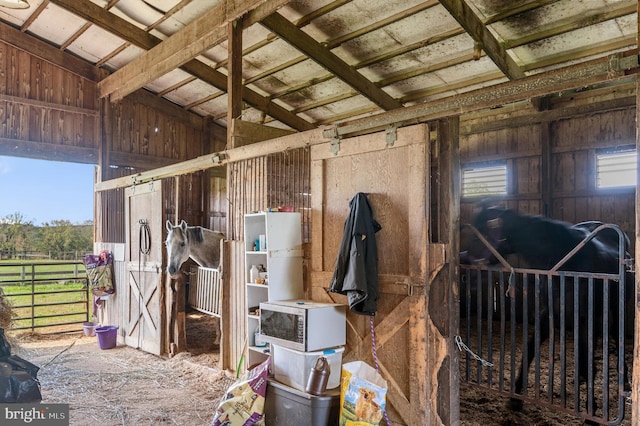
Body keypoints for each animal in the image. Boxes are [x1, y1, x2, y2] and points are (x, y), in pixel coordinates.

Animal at [468, 205, 632, 422]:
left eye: (478, 235)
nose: (464, 256)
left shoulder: (585, 318)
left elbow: (589, 361)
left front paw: (592, 414)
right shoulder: (550, 314)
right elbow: (529, 349)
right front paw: (516, 397)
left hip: (613, 311)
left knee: (614, 337)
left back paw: (626, 381)